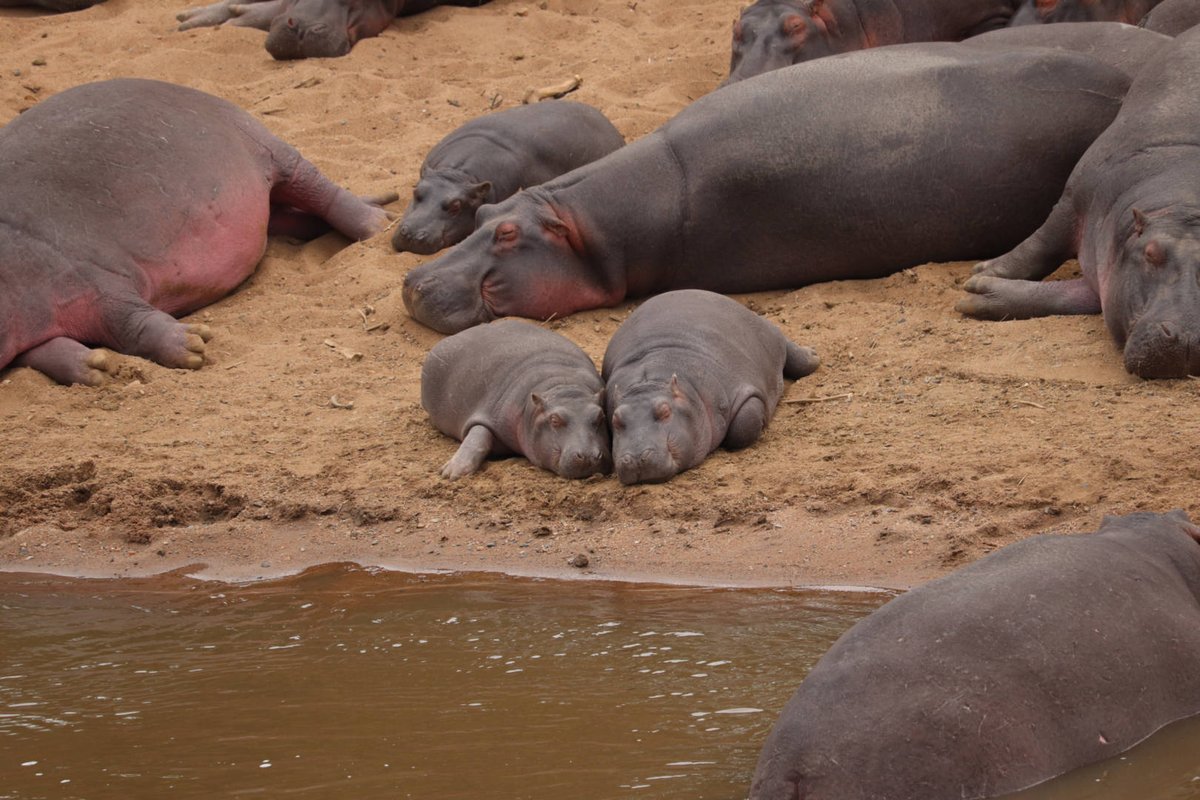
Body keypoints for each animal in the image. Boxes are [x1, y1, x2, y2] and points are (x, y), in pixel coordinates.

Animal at [0, 78, 392, 386]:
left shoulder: (91, 275)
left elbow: (126, 318)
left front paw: (192, 345)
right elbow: (43, 352)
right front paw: (94, 368)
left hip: (266, 146)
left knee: (316, 186)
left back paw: (379, 224)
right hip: (257, 204)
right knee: (293, 215)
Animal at [421, 319, 611, 480]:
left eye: (601, 417)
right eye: (554, 420)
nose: (588, 456)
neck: (563, 385)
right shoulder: (491, 414)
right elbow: (477, 438)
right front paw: (450, 473)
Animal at [601, 291, 818, 485]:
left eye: (664, 411)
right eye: (616, 420)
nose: (636, 458)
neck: (649, 381)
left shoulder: (742, 389)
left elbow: (744, 425)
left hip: (768, 333)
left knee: (789, 349)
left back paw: (813, 356)